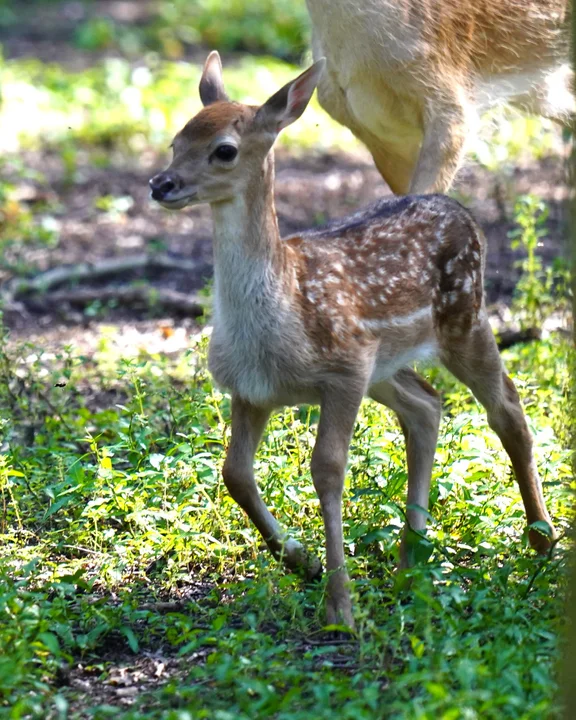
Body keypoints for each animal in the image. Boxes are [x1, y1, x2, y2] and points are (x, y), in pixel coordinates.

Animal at [151, 53, 556, 628]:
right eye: (176, 140)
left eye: (223, 149)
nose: (160, 184)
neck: (282, 311)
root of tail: (457, 207)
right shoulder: (252, 388)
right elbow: (234, 473)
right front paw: (300, 561)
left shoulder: (342, 372)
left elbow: (327, 469)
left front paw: (340, 605)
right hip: (384, 365)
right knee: (427, 406)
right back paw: (410, 564)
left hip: (464, 318)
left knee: (508, 408)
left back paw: (541, 541)